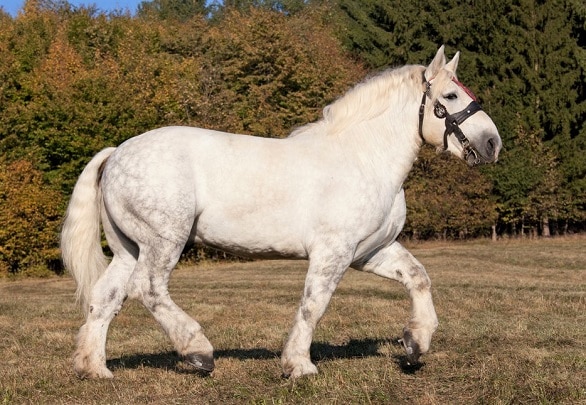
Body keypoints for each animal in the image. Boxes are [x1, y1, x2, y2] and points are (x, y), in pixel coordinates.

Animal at [62, 47, 498, 378]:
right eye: (451, 97)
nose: (493, 144)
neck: (363, 157)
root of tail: (116, 153)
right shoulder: (333, 252)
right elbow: (313, 304)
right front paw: (299, 365)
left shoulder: (370, 251)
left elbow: (418, 278)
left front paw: (415, 343)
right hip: (163, 241)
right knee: (148, 288)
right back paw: (198, 350)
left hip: (128, 248)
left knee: (106, 297)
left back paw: (94, 369)